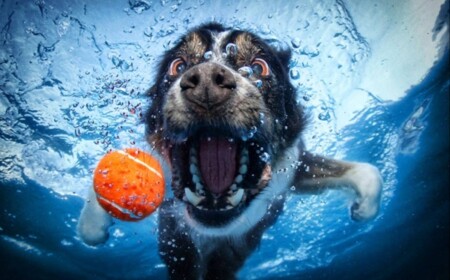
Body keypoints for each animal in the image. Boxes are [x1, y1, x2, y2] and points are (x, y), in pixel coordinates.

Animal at [78, 23, 384, 278]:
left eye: (259, 67)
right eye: (178, 66)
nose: (205, 82)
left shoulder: (292, 171)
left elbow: (369, 171)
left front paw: (363, 208)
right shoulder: (173, 222)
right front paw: (93, 225)